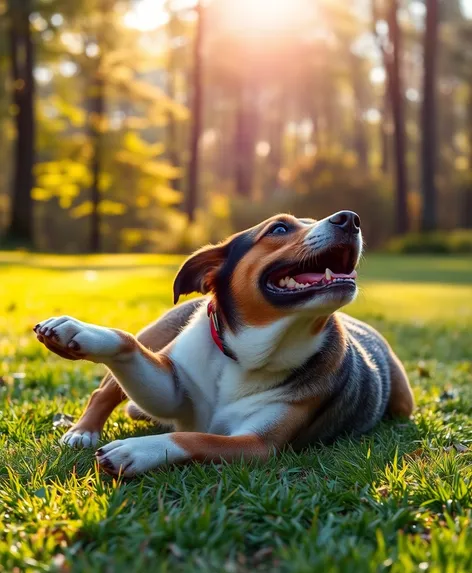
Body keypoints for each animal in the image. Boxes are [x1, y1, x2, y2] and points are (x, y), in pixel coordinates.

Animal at [35, 212, 414, 476]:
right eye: (279, 229)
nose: (350, 218)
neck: (244, 357)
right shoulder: (173, 388)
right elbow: (125, 344)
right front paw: (76, 331)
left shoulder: (258, 443)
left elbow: (195, 438)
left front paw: (136, 451)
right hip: (159, 332)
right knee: (106, 389)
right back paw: (83, 431)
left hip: (404, 401)